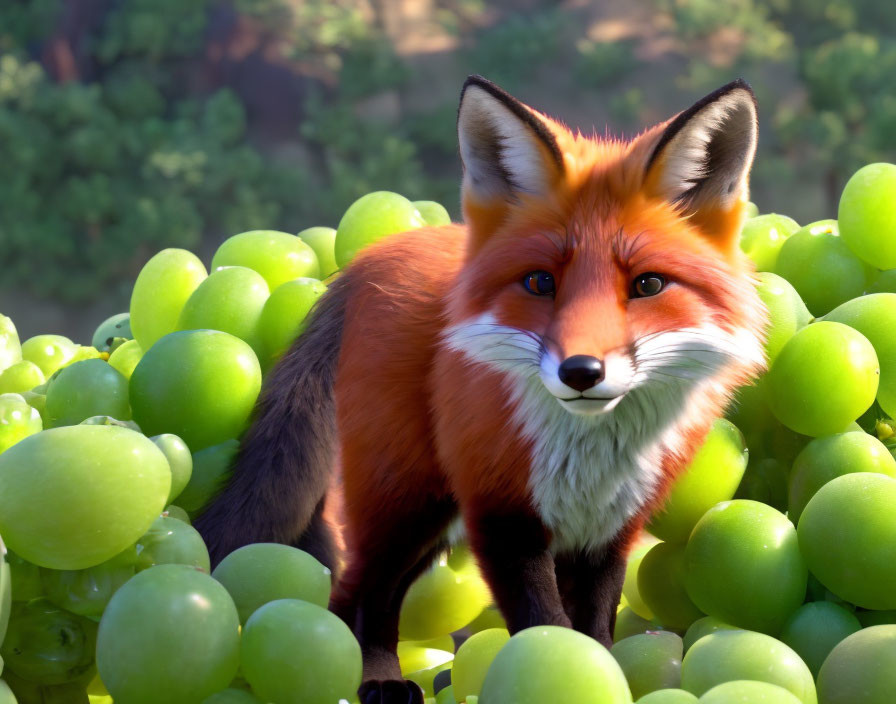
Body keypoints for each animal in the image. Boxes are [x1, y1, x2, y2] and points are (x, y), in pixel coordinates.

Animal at [192, 74, 768, 700]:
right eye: (540, 282)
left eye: (647, 285)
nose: (581, 372)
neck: (588, 454)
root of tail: (373, 254)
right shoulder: (502, 516)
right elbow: (547, 625)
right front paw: (560, 676)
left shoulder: (609, 529)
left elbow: (594, 630)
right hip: (408, 498)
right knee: (358, 589)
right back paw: (374, 679)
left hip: (435, 517)